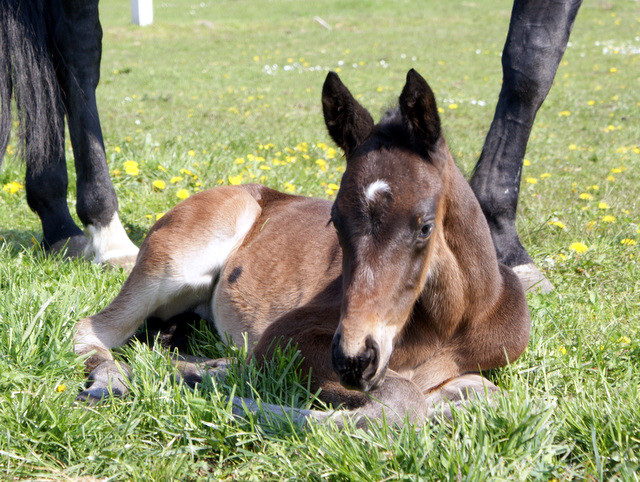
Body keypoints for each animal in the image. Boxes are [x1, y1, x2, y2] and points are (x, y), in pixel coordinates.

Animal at [74, 69, 528, 424]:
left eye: (425, 227)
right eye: (335, 219)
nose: (353, 359)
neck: (454, 322)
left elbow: (486, 394)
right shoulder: (291, 334)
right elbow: (402, 405)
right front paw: (225, 397)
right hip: (175, 264)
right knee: (92, 328)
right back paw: (115, 382)